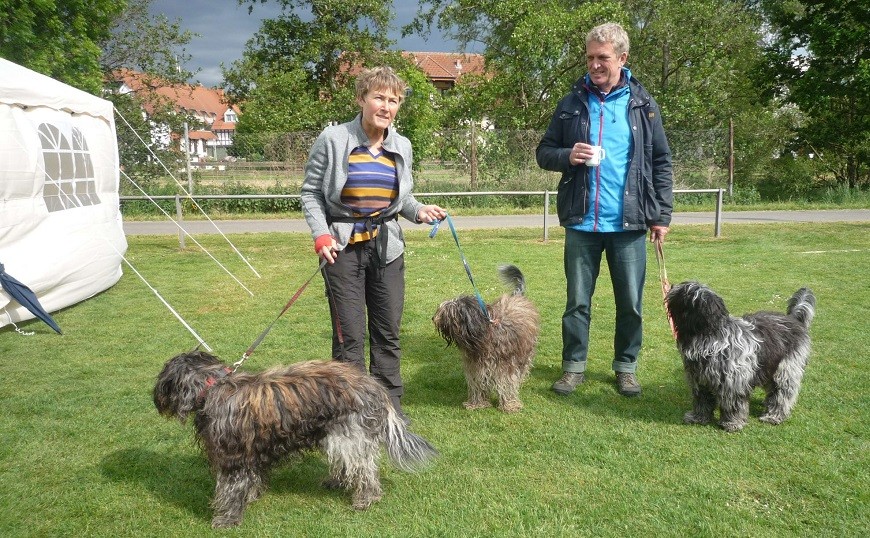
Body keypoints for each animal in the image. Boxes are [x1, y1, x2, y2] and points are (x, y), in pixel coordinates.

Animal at [154, 350, 440, 524]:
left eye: (164, 378)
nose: (155, 398)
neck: (212, 388)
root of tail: (375, 387)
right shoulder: (251, 452)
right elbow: (252, 479)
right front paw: (251, 497)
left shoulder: (233, 459)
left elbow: (230, 489)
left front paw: (226, 519)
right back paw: (337, 482)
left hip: (349, 435)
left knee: (363, 469)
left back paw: (365, 498)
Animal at [434, 264, 540, 410]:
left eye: (449, 312)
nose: (434, 318)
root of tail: (516, 296)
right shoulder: (476, 366)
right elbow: (478, 383)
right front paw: (477, 403)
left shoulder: (505, 366)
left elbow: (507, 383)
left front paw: (509, 405)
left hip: (526, 351)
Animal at [668, 280, 816, 432]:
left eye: (685, 291)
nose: (671, 286)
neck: (712, 336)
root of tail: (794, 319)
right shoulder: (700, 380)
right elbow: (702, 400)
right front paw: (698, 418)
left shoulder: (732, 383)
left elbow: (732, 404)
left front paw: (732, 423)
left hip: (786, 369)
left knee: (782, 394)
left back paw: (773, 416)